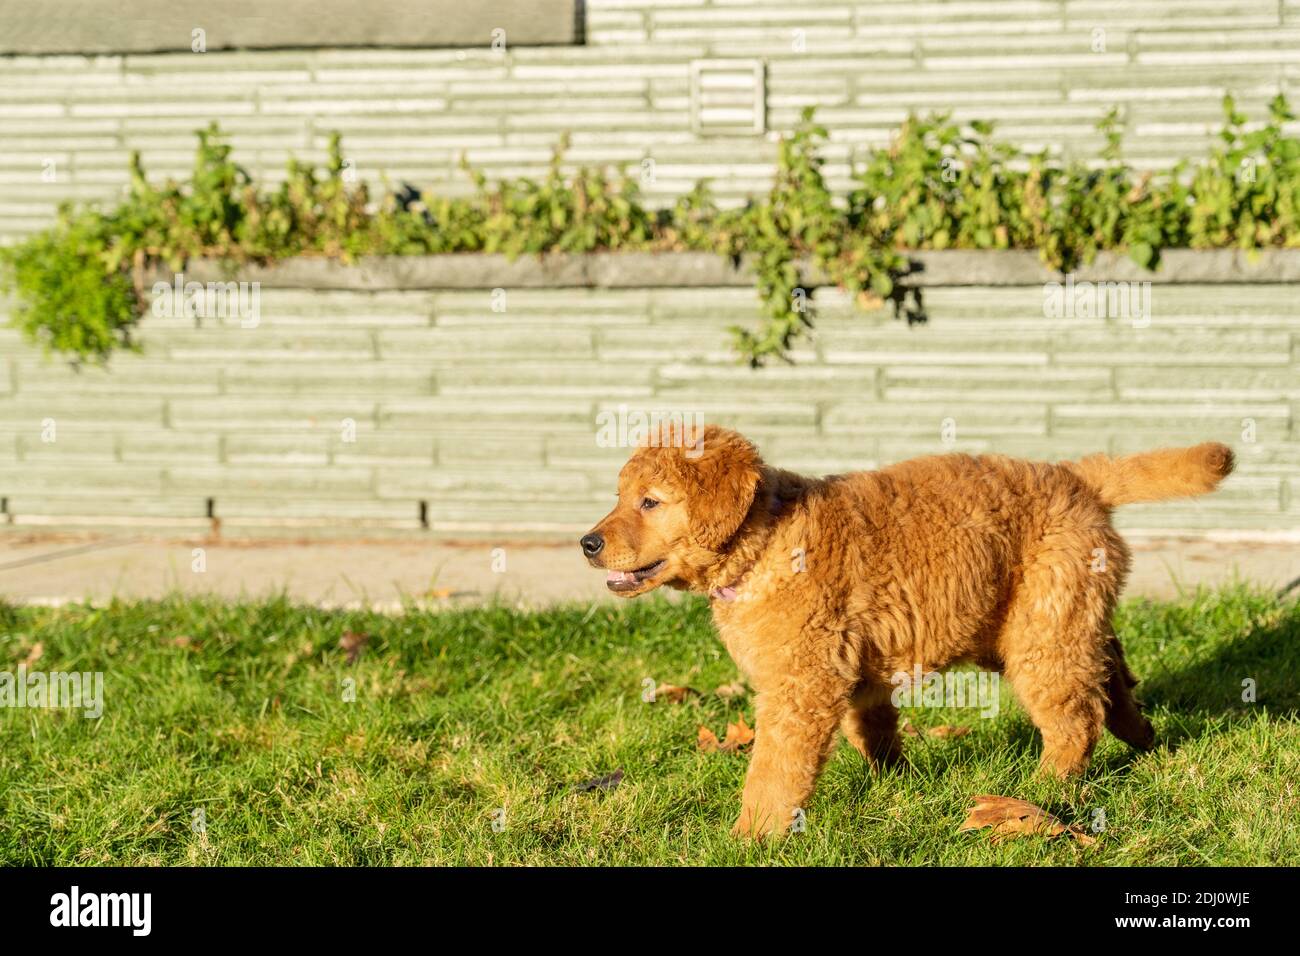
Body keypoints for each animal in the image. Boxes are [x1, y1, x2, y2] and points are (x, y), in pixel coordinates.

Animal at [582, 424, 1237, 837]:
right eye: (618, 497)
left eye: (650, 502)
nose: (588, 543)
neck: (762, 542)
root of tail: (1079, 478)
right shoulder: (850, 669)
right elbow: (873, 730)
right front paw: (895, 785)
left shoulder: (801, 683)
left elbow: (774, 770)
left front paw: (751, 837)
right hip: (1048, 618)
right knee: (1108, 667)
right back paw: (1141, 735)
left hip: (1040, 629)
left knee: (1075, 716)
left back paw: (1042, 790)